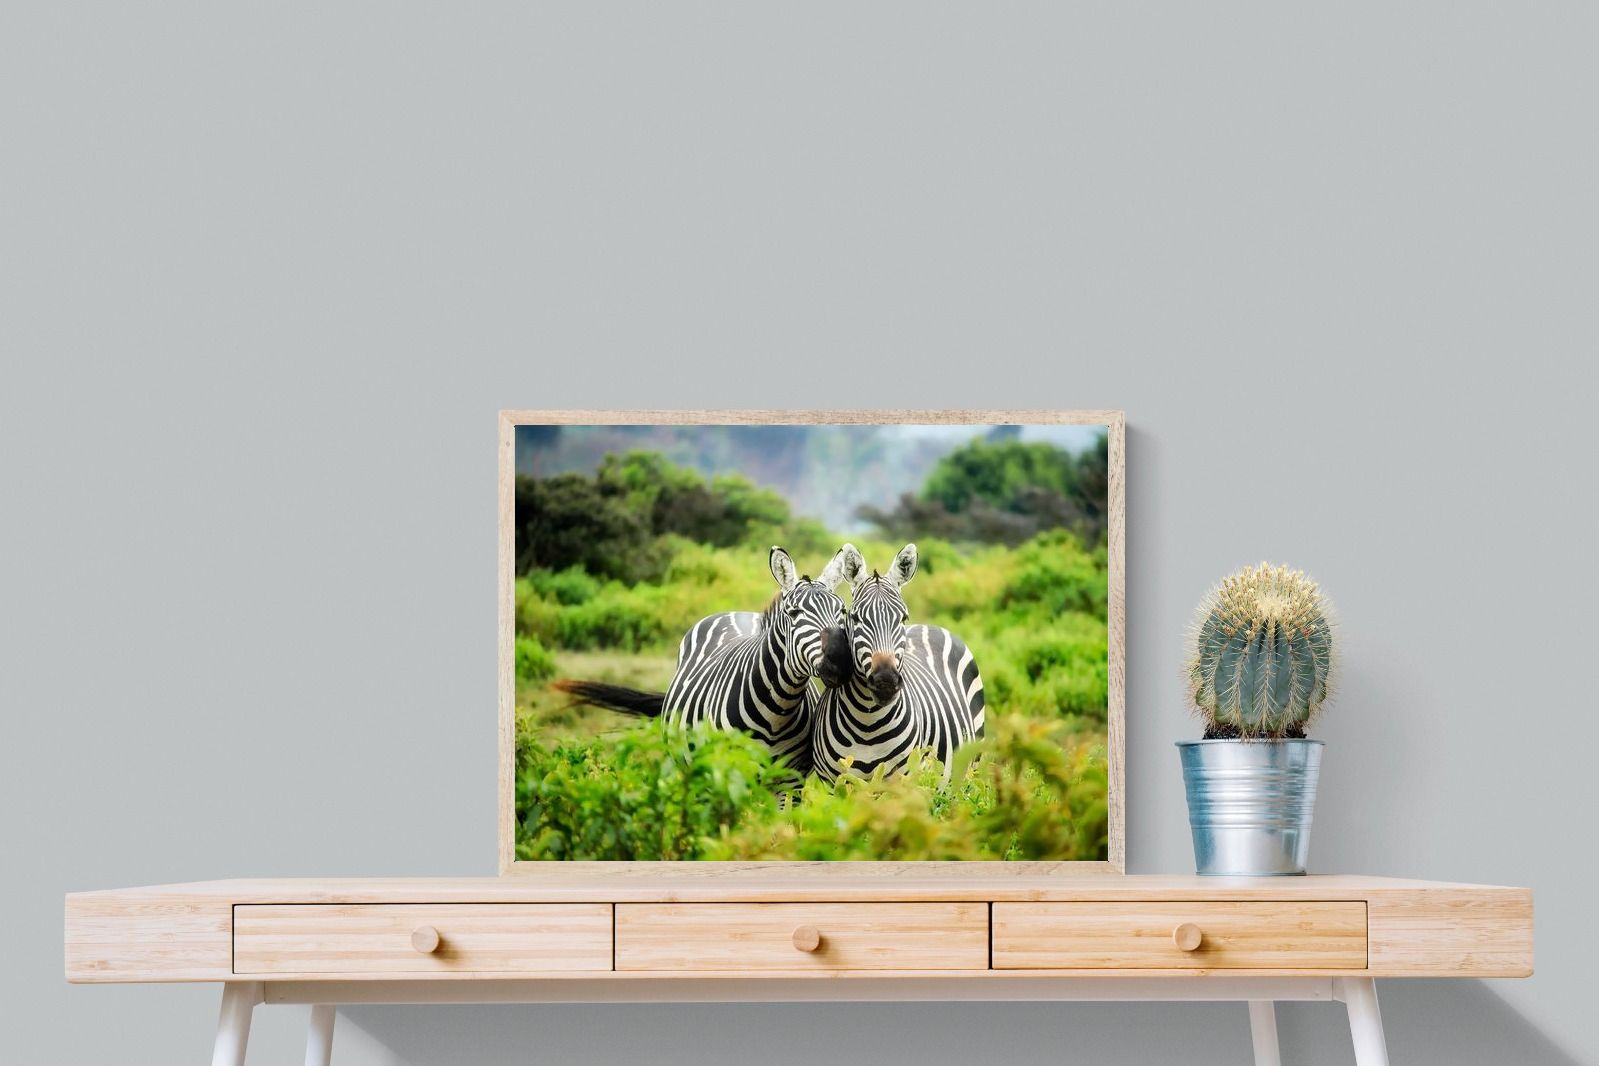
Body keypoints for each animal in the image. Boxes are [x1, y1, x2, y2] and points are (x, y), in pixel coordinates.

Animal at [553, 545, 854, 775]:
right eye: (793, 613)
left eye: (842, 611)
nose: (840, 660)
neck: (777, 710)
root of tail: (735, 612)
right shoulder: (729, 771)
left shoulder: (789, 779)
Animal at [808, 543, 986, 783]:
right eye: (855, 618)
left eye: (903, 618)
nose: (886, 681)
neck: (867, 724)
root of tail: (930, 626)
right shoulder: (833, 783)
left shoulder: (901, 780)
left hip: (970, 767)